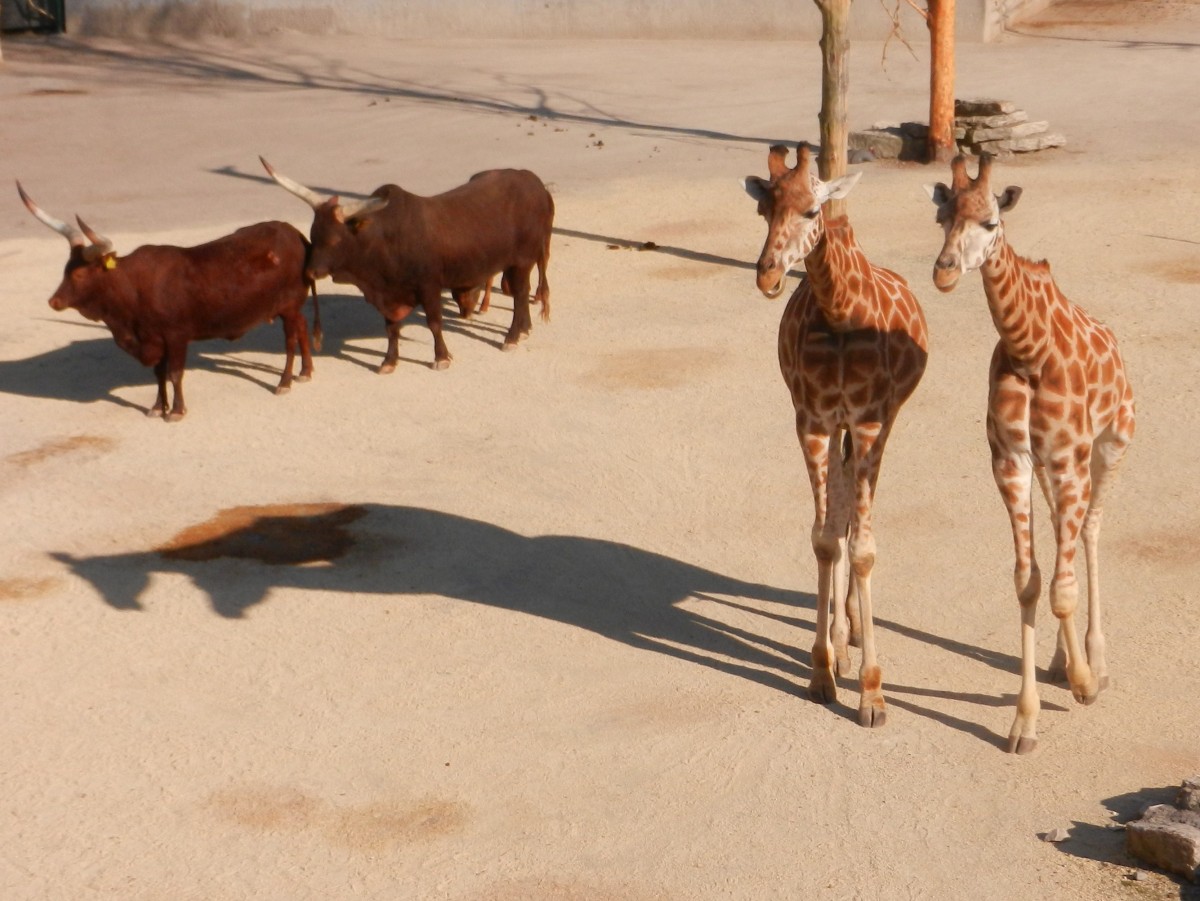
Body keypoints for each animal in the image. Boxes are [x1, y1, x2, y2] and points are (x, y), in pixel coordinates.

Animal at [19, 183, 319, 427]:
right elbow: (159, 373)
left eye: (80, 274)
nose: (54, 301)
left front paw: (175, 411)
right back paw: (305, 372)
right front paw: (156, 407)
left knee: (290, 340)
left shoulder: (176, 337)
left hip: (288, 306)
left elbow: (174, 374)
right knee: (303, 328)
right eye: (65, 269)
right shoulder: (154, 339)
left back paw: (284, 382)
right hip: (292, 309)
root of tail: (294, 233)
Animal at [262, 158, 552, 374]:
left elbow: (434, 323)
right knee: (522, 295)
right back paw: (524, 329)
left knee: (520, 295)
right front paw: (389, 361)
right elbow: (391, 329)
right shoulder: (389, 295)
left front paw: (441, 357)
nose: (311, 271)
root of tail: (534, 183)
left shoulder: (429, 287)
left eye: (334, 239)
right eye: (313, 234)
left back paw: (512, 337)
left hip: (521, 261)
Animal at [744, 144, 931, 729]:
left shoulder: (869, 420)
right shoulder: (813, 419)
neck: (843, 314)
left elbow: (864, 547)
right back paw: (841, 637)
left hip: (881, 425)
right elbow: (825, 538)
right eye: (764, 210)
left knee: (854, 508)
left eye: (811, 211)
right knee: (842, 507)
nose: (767, 277)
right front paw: (823, 671)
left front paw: (873, 694)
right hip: (839, 430)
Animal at [921, 154, 1137, 753]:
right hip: (1050, 468)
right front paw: (1025, 721)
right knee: (1068, 536)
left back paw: (1097, 661)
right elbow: (1029, 582)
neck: (1030, 348)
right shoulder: (1011, 460)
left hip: (1113, 443)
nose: (944, 271)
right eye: (941, 216)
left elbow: (1062, 587)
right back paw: (1064, 660)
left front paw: (1086, 684)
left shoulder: (1068, 459)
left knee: (1090, 529)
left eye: (990, 222)